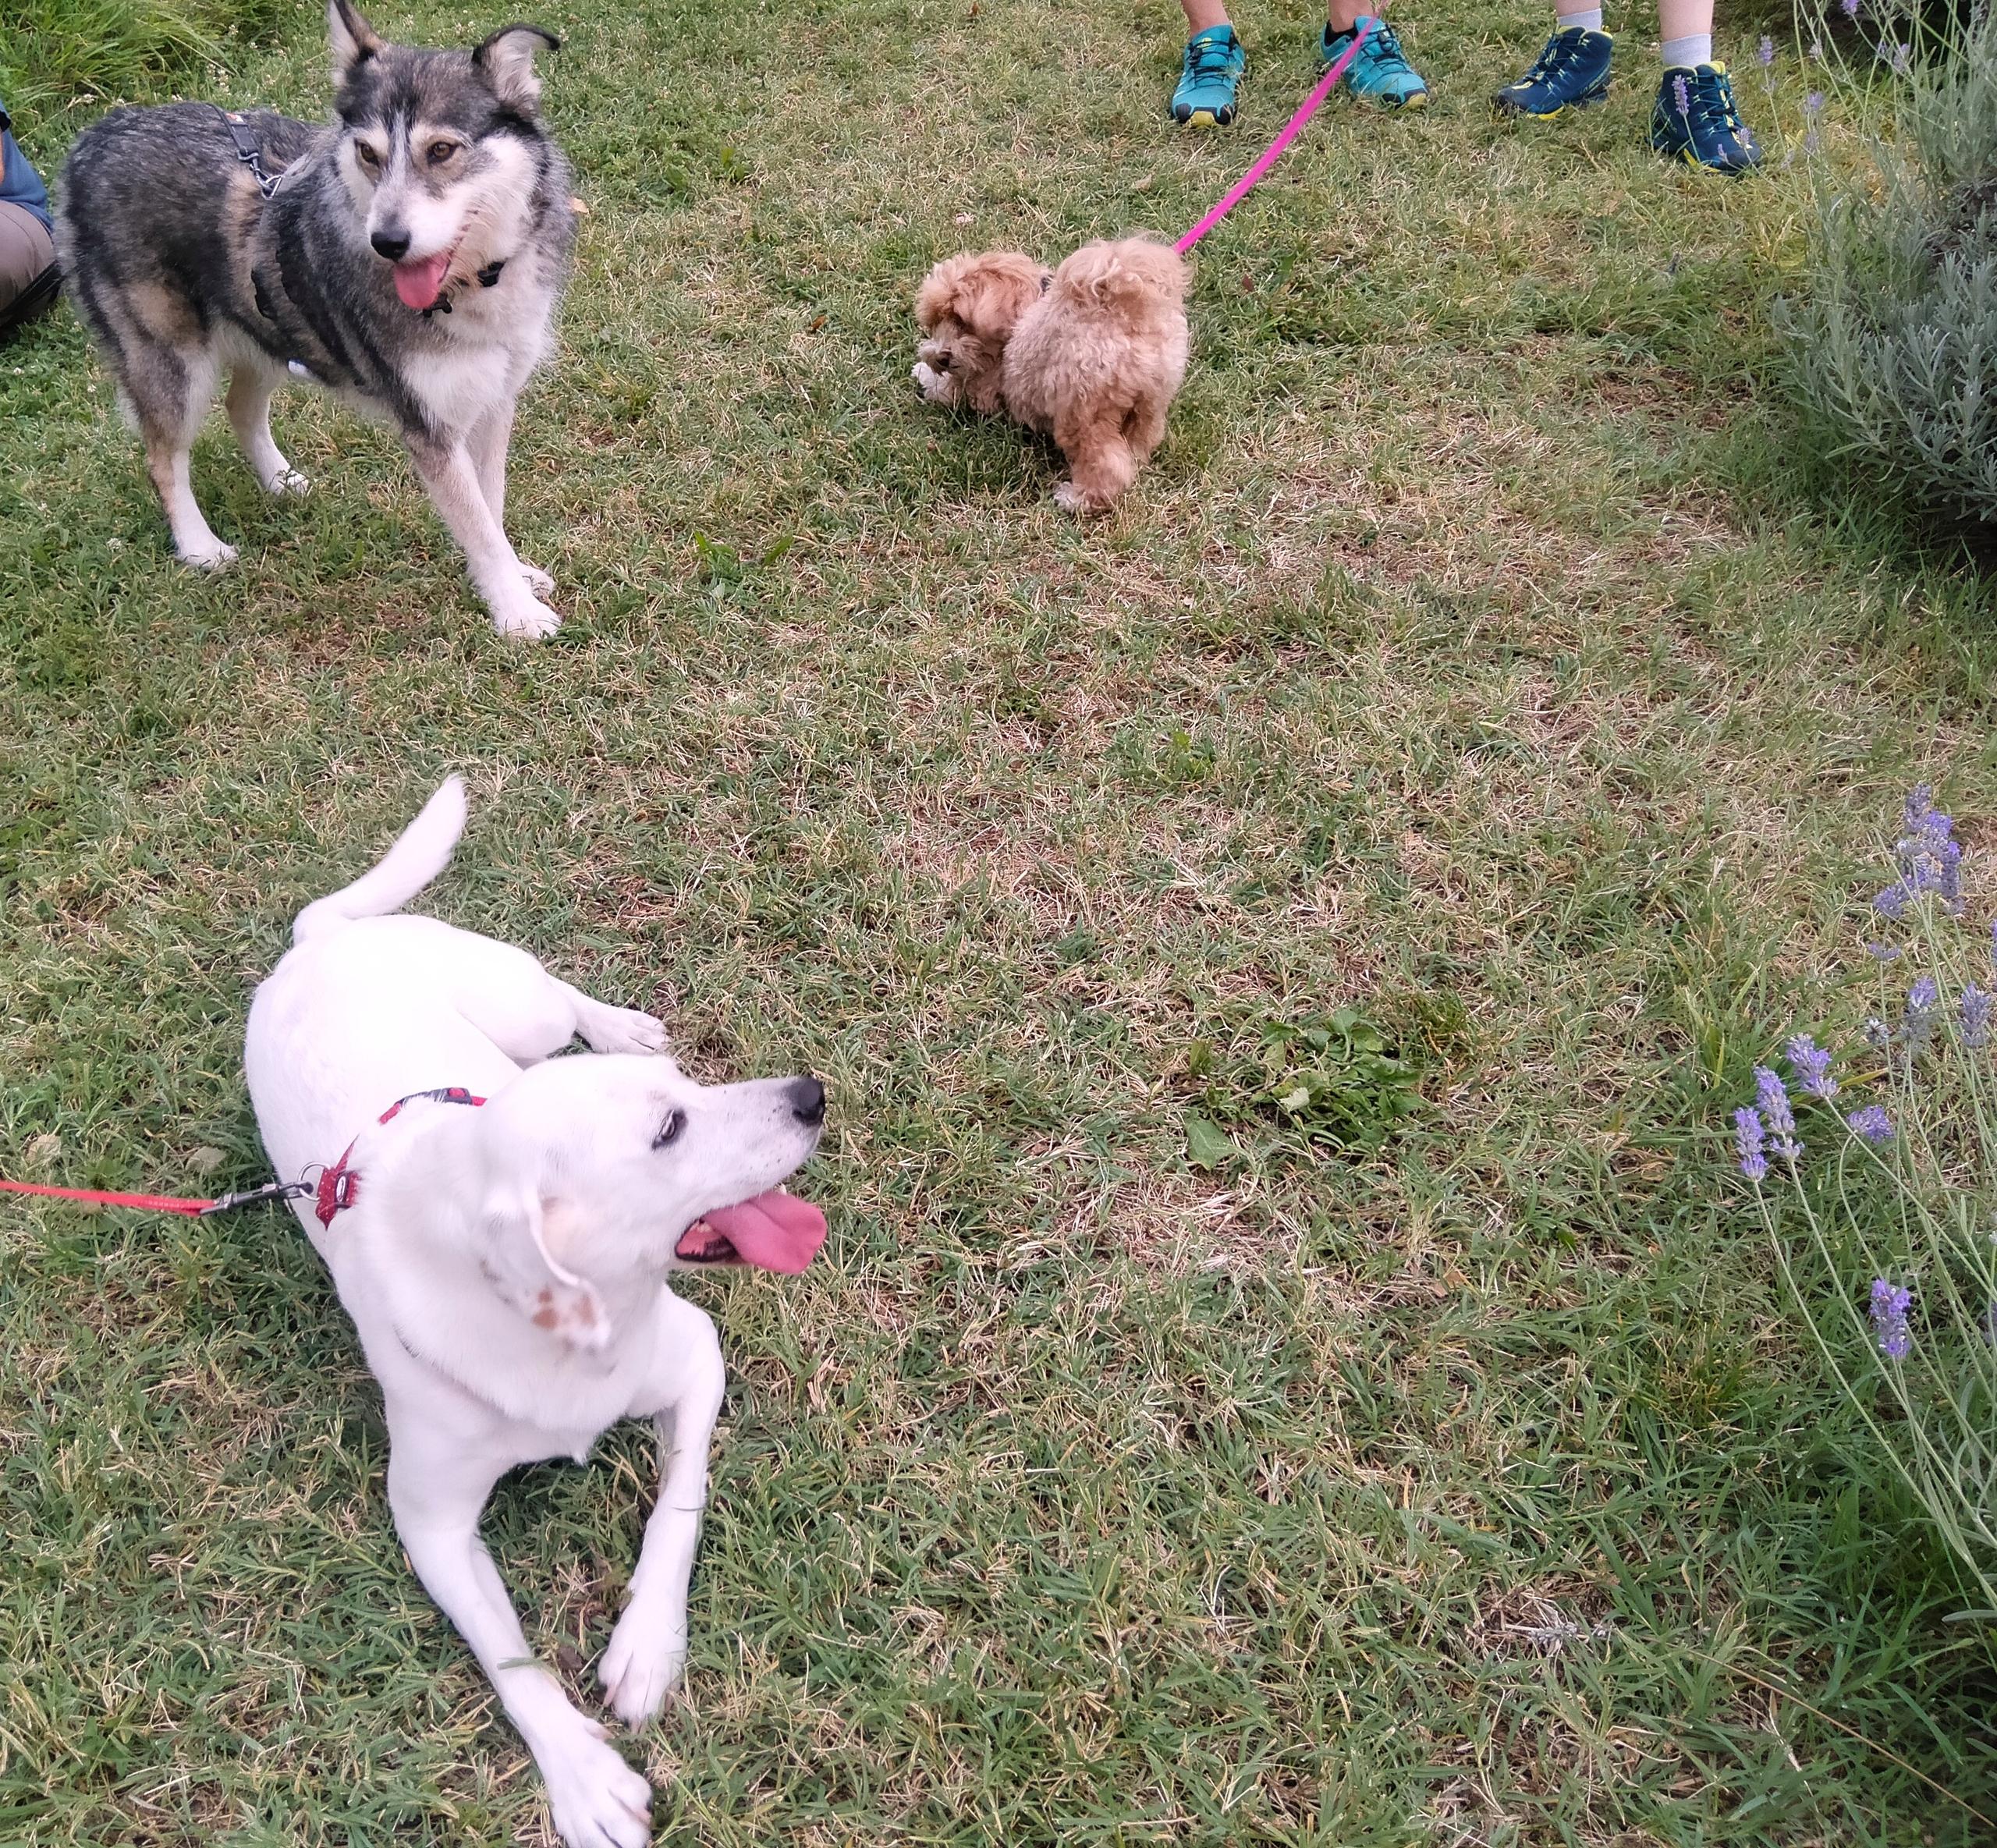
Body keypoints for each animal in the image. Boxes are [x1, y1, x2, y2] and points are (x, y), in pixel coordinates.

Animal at [55, 2, 583, 635]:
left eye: (441, 151)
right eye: (368, 154)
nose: (387, 242)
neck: (471, 283)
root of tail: (95, 139)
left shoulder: (494, 401)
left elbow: (492, 503)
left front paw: (516, 580)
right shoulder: (429, 427)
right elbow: (477, 524)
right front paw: (515, 612)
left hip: (266, 329)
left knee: (239, 407)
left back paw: (281, 482)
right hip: (172, 364)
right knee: (163, 460)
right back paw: (200, 547)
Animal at [247, 779, 826, 1846]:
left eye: (684, 1095)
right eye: (670, 1127)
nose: (814, 1093)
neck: (560, 1339)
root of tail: (317, 939)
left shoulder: (694, 1354)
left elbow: (679, 1505)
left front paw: (647, 1646)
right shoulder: (430, 1520)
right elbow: (507, 1656)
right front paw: (582, 1773)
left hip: (517, 1009)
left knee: (561, 994)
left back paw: (620, 1023)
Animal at [914, 236, 1182, 519]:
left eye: (960, 320)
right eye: (936, 323)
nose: (940, 357)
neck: (1026, 307)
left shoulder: (985, 381)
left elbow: (953, 388)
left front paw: (925, 374)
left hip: (1081, 412)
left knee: (1105, 464)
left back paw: (1078, 499)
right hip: (1151, 403)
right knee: (1140, 439)